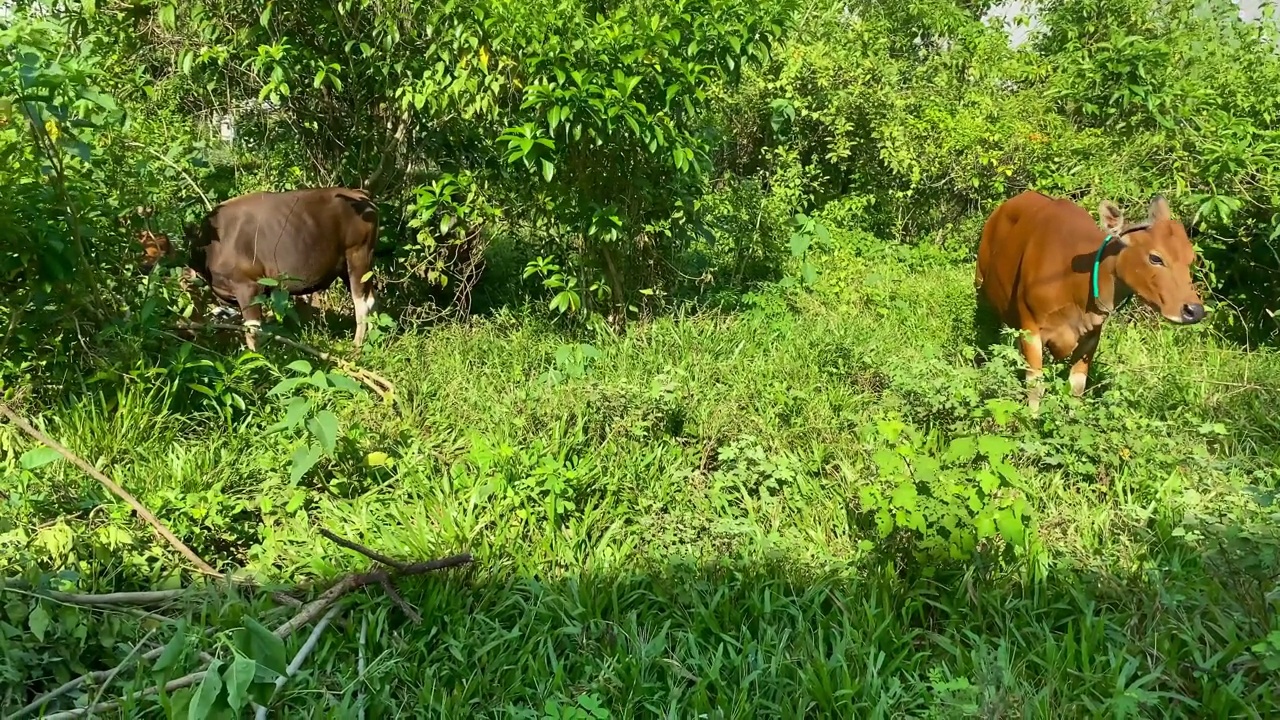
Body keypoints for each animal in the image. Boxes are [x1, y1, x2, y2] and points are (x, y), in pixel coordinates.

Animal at [144, 188, 376, 351]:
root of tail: (363, 197)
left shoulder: (248, 287)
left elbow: (252, 331)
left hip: (357, 256)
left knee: (360, 303)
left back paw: (356, 347)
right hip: (349, 266)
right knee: (370, 299)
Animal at [972, 189, 1203, 409]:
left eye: (1190, 258)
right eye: (1155, 257)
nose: (1194, 310)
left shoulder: (1091, 335)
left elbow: (1076, 388)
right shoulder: (1031, 326)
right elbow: (1035, 386)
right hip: (981, 289)